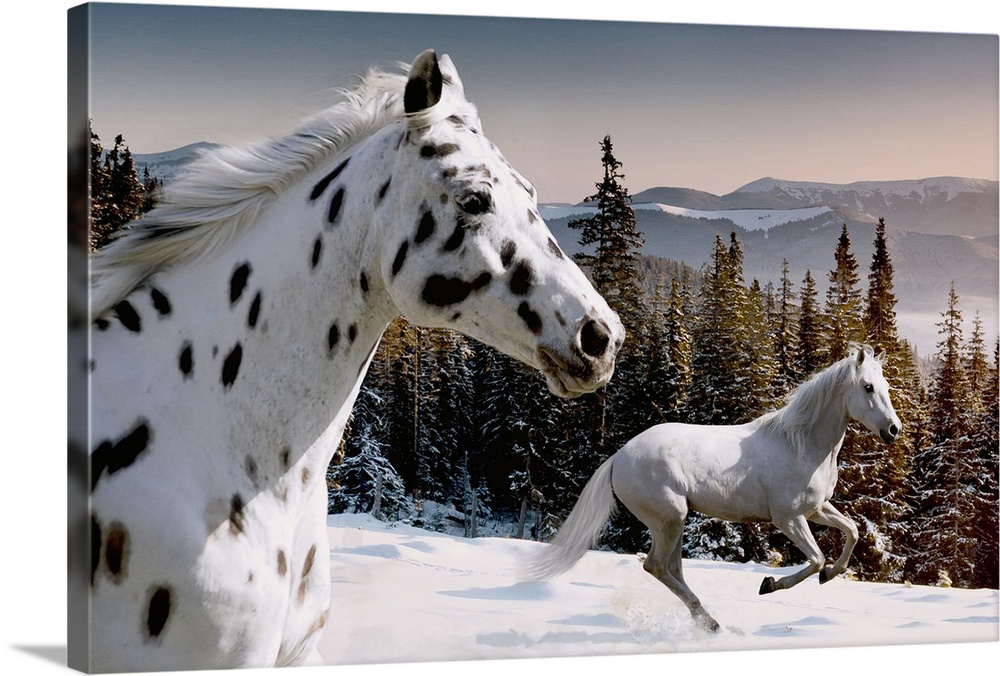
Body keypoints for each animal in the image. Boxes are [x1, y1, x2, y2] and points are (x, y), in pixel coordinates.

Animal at [528, 346, 904, 632]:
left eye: (885, 385)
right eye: (868, 387)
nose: (894, 430)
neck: (801, 445)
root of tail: (618, 457)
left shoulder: (816, 509)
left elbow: (852, 532)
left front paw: (830, 575)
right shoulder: (788, 518)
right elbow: (814, 559)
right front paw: (769, 585)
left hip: (675, 521)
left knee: (672, 569)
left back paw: (707, 621)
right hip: (669, 518)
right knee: (656, 567)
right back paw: (708, 621)